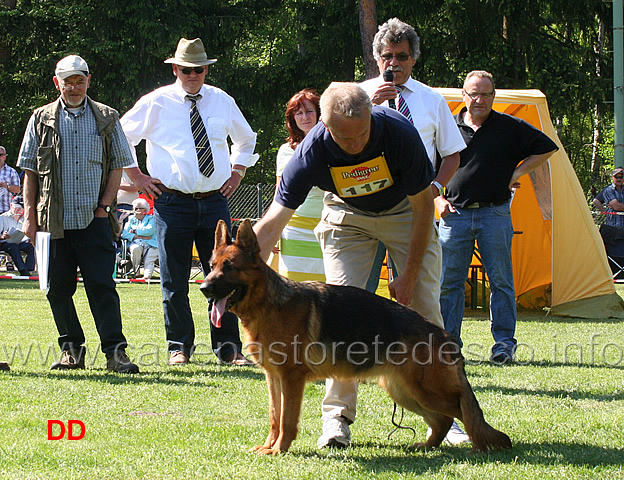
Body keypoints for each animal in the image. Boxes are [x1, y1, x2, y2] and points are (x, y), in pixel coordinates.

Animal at [201, 219, 512, 456]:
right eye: (212, 265)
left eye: (230, 267)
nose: (204, 288)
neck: (269, 302)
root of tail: (443, 334)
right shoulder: (273, 378)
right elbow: (275, 417)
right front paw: (269, 446)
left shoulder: (291, 379)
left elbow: (287, 420)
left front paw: (279, 449)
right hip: (404, 391)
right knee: (444, 419)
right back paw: (426, 446)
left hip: (424, 390)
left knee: (463, 409)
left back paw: (475, 444)